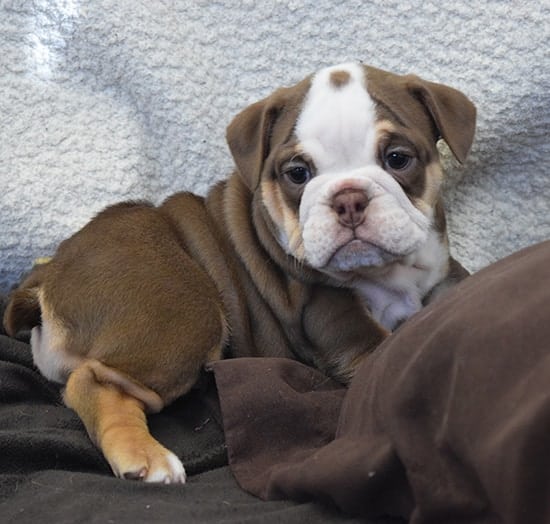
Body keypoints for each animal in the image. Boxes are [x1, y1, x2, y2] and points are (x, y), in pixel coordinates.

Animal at [4, 63, 476, 486]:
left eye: (397, 159)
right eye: (298, 173)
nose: (348, 199)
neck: (387, 271)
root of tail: (49, 277)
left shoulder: (441, 277)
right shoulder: (334, 320)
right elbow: (383, 353)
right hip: (186, 311)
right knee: (92, 380)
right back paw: (144, 456)